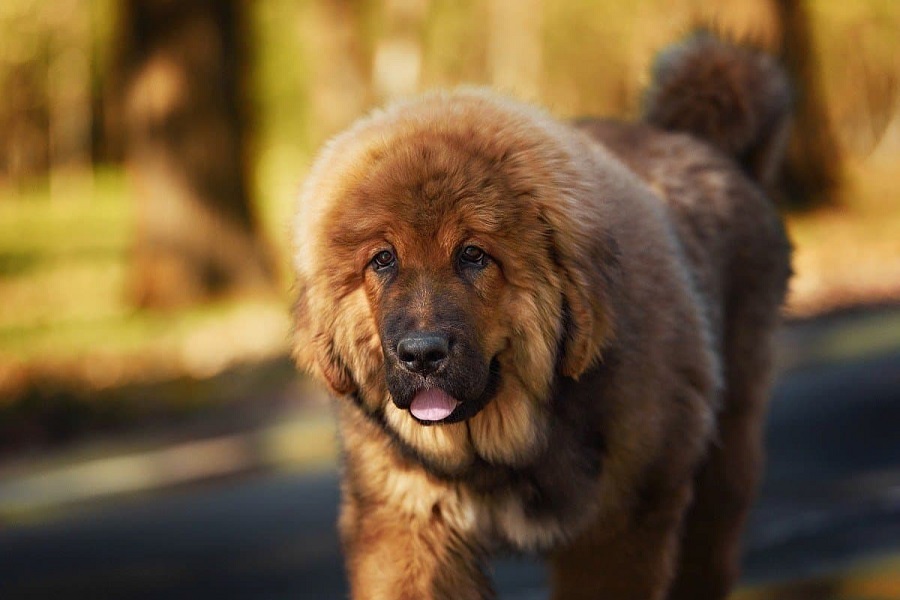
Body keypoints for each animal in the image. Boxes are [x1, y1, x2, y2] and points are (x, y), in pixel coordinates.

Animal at [292, 34, 792, 600]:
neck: (499, 452)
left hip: (723, 453)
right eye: (382, 259)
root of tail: (698, 141)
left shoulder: (620, 523)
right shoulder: (405, 520)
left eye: (473, 255)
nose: (420, 355)